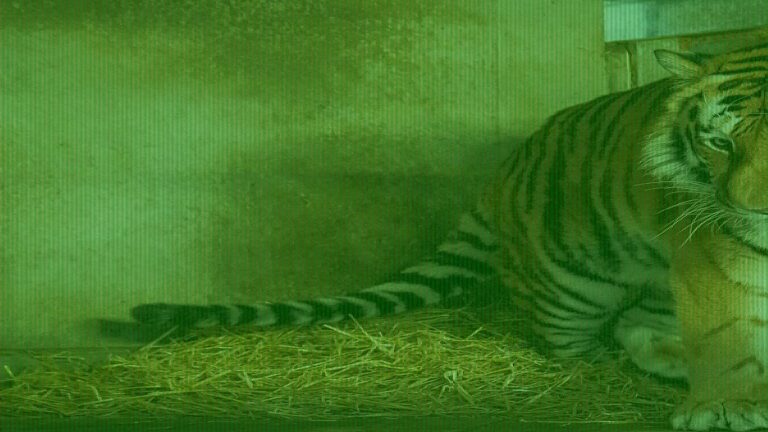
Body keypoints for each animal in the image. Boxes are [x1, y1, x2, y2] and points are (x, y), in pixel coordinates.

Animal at [112, 42, 768, 431]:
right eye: (719, 141)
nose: (749, 208)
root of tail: (504, 172)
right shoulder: (712, 251)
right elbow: (725, 330)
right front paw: (726, 404)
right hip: (573, 288)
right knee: (585, 340)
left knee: (640, 324)